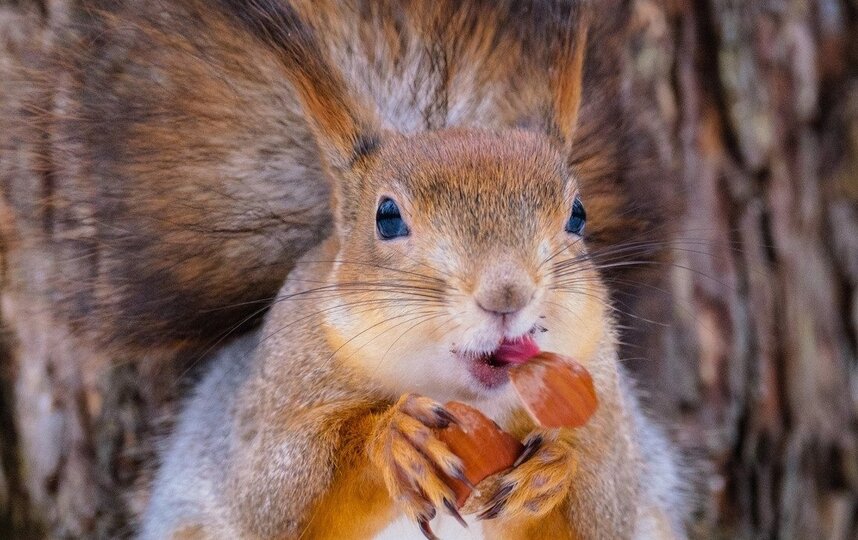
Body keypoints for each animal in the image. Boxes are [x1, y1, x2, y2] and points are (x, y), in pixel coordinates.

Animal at [140, 2, 688, 536]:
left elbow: (602, 508)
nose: (507, 295)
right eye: (387, 217)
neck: (462, 394)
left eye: (577, 213)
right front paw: (395, 439)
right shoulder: (269, 401)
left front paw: (552, 470)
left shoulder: (607, 405)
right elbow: (278, 494)